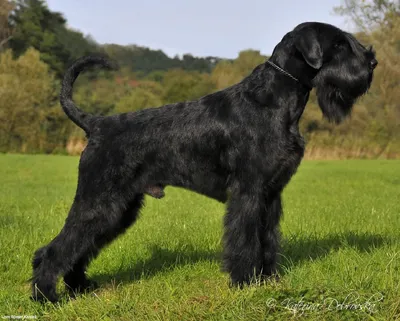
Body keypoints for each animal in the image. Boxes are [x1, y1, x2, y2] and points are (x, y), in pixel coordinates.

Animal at [32, 21, 378, 302]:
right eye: (339, 44)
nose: (373, 61)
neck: (274, 100)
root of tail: (96, 124)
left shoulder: (271, 194)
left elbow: (268, 240)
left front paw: (270, 280)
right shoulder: (248, 193)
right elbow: (245, 240)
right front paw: (245, 283)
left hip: (119, 209)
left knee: (80, 247)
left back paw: (79, 287)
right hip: (99, 201)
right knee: (54, 249)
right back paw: (46, 296)